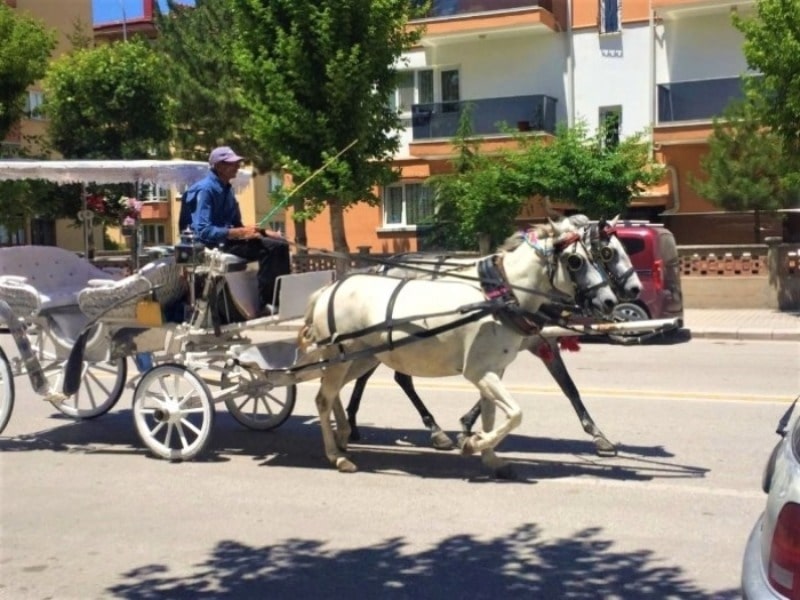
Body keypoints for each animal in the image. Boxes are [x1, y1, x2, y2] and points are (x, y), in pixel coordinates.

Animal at [298, 218, 620, 476]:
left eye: (596, 256)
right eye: (576, 261)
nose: (610, 301)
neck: (500, 297)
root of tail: (328, 289)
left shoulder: (494, 370)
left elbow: (492, 416)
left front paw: (491, 458)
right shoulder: (479, 371)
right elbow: (515, 414)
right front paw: (473, 442)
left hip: (359, 359)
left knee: (333, 392)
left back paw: (344, 435)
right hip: (341, 358)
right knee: (323, 399)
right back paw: (337, 456)